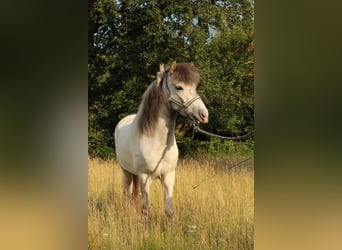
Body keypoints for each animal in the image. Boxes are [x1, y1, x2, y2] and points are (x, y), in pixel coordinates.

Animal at [114, 61, 208, 219]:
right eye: (179, 87)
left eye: (195, 86)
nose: (203, 114)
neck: (156, 143)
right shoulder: (145, 177)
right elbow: (146, 211)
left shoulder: (168, 176)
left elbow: (169, 210)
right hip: (126, 172)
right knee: (127, 195)